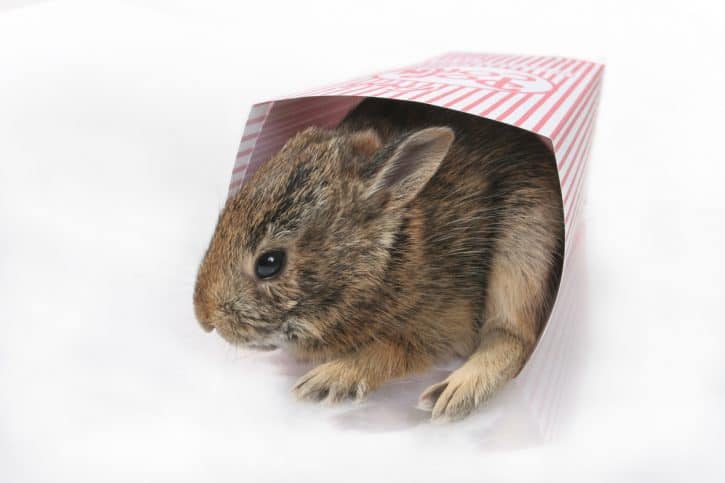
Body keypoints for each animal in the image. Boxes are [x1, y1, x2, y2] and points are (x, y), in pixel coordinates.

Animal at [193, 97, 564, 422]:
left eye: (269, 262)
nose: (204, 318)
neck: (385, 257)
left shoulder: (439, 326)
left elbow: (392, 351)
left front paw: (326, 380)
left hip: (524, 254)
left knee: (514, 337)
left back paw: (454, 393)